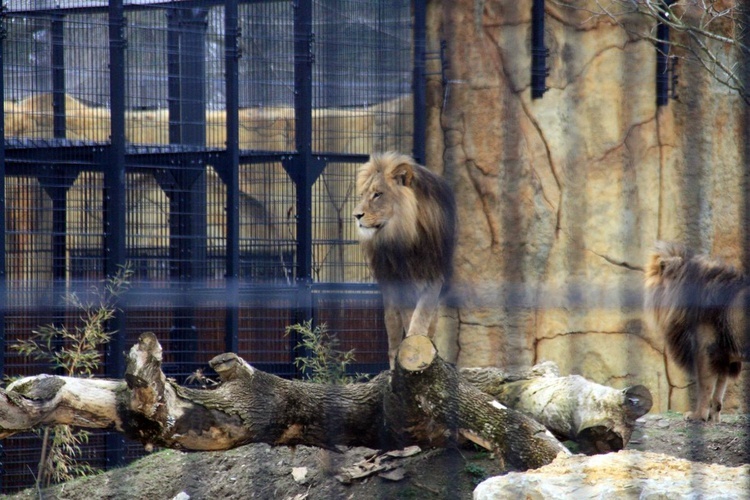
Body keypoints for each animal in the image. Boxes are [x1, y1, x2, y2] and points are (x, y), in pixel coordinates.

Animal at [354, 152, 456, 368]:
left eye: (377, 194)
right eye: (363, 194)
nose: (356, 215)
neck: (409, 233)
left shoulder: (434, 276)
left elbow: (422, 314)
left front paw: (418, 340)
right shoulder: (400, 280)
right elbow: (408, 316)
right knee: (392, 338)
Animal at [644, 241, 748, 422]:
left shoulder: (705, 350)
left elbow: (705, 386)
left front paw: (697, 416)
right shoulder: (724, 356)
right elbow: (719, 389)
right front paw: (714, 418)